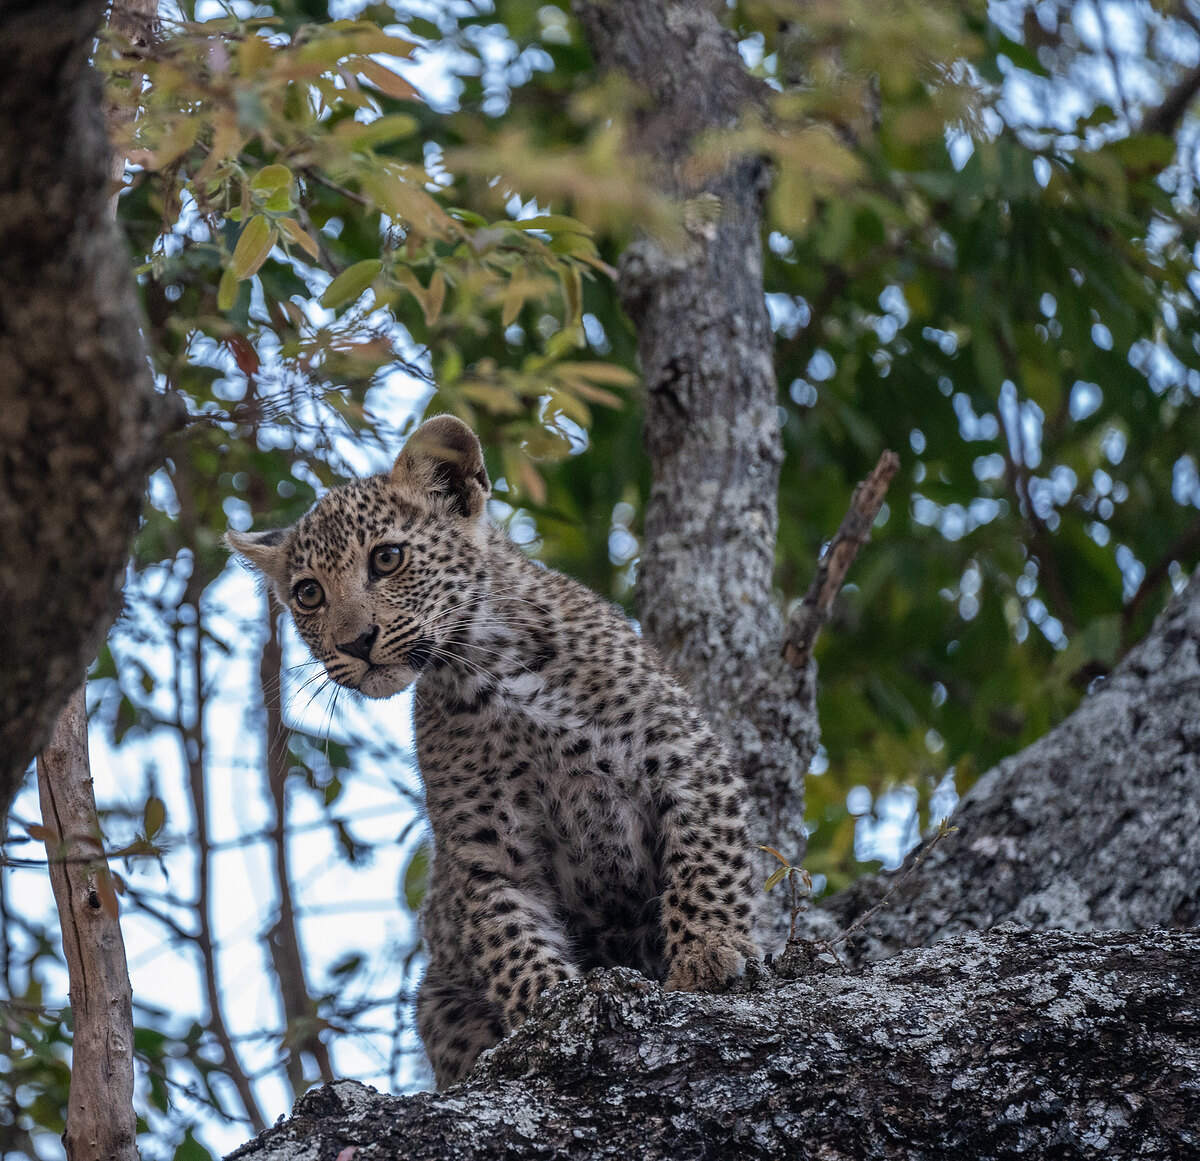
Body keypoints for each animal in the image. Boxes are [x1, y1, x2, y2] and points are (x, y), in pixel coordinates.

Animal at [226, 415, 759, 1088]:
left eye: (387, 558)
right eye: (308, 594)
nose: (356, 642)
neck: (486, 666)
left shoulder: (681, 754)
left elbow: (707, 864)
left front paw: (708, 953)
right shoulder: (487, 848)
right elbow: (511, 938)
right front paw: (552, 1014)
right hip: (437, 998)